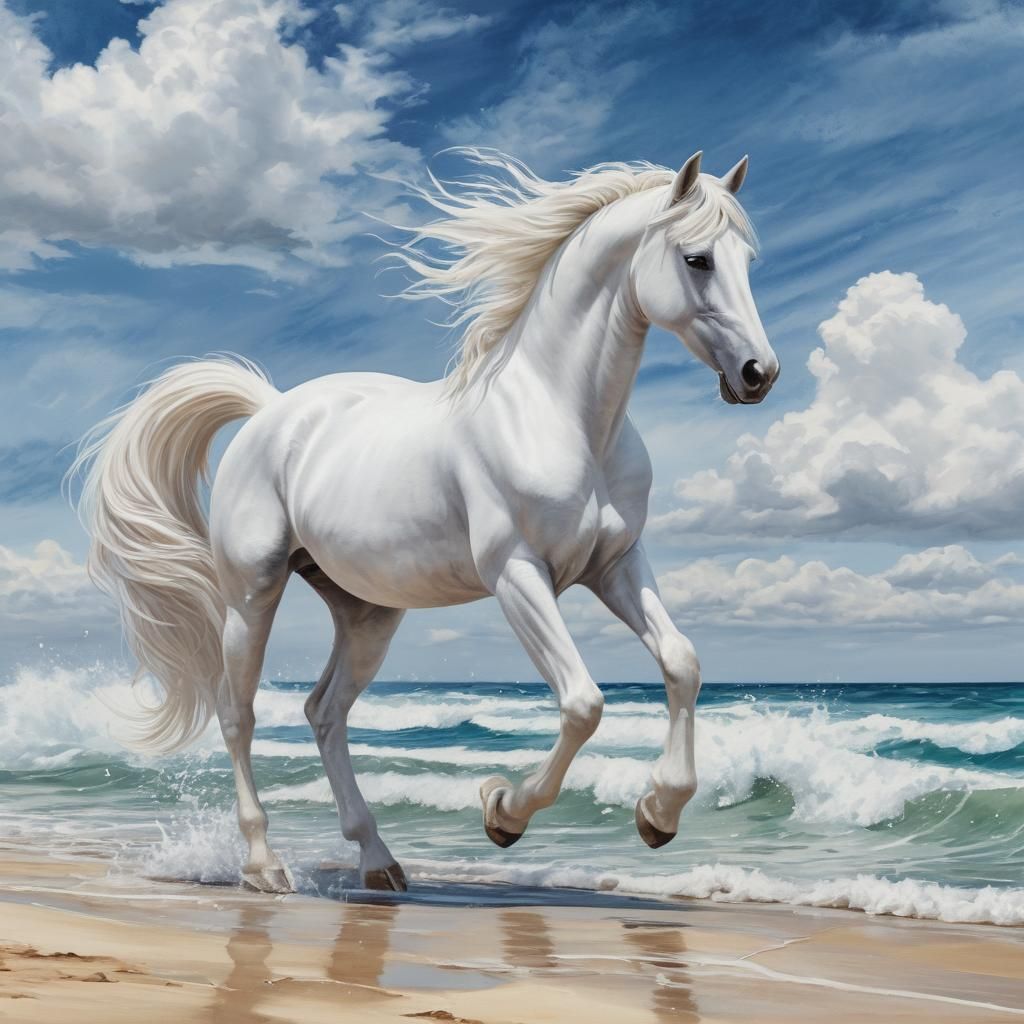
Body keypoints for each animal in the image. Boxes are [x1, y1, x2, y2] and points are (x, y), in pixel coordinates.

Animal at [74, 148, 778, 894]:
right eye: (697, 258)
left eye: (747, 260)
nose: (759, 373)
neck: (563, 418)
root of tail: (271, 409)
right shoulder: (517, 575)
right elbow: (583, 702)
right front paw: (502, 813)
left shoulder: (616, 565)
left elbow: (682, 663)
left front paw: (658, 813)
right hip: (251, 594)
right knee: (238, 715)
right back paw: (265, 866)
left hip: (367, 613)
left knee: (324, 711)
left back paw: (378, 861)